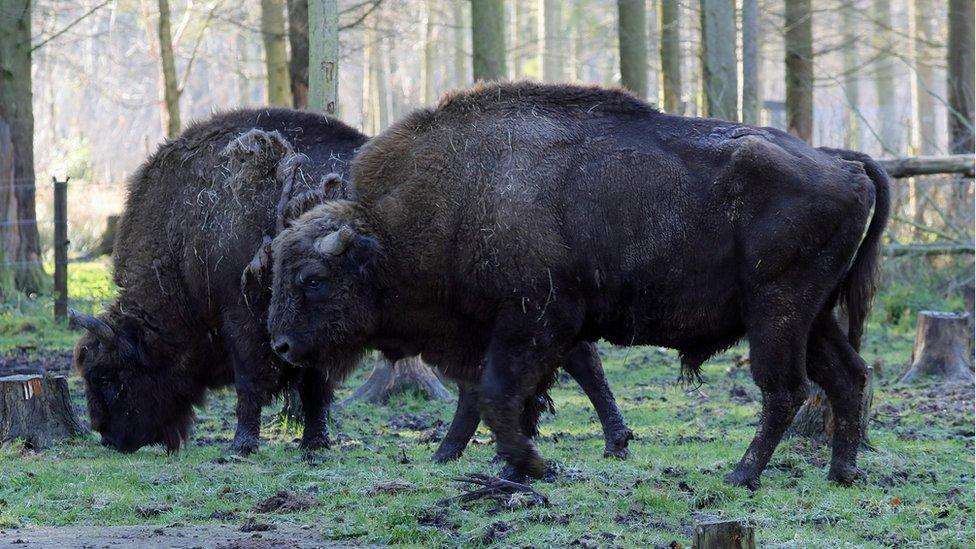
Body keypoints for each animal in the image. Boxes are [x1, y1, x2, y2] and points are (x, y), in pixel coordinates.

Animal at [268, 82, 892, 488]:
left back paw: (742, 475)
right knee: (847, 376)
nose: (282, 344)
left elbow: (500, 394)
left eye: (313, 279)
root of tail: (844, 165)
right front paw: (491, 464)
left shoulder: (536, 319)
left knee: (783, 388)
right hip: (814, 317)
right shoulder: (507, 332)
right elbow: (499, 396)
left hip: (776, 313)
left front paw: (527, 465)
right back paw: (842, 473)